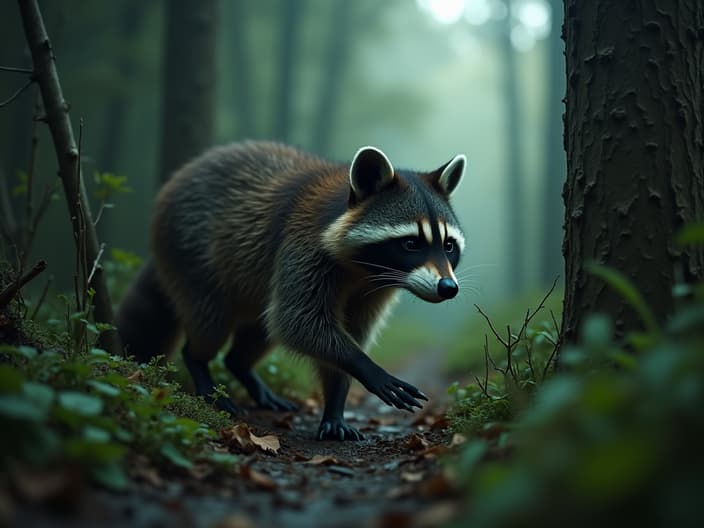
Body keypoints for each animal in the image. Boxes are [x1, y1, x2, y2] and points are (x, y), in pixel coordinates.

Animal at [117, 141, 464, 442]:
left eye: (448, 246)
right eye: (411, 244)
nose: (448, 287)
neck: (364, 270)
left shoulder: (373, 288)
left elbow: (349, 331)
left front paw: (336, 399)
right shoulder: (302, 245)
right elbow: (298, 322)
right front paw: (365, 365)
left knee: (259, 330)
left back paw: (240, 365)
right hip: (191, 252)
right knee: (210, 317)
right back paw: (200, 365)